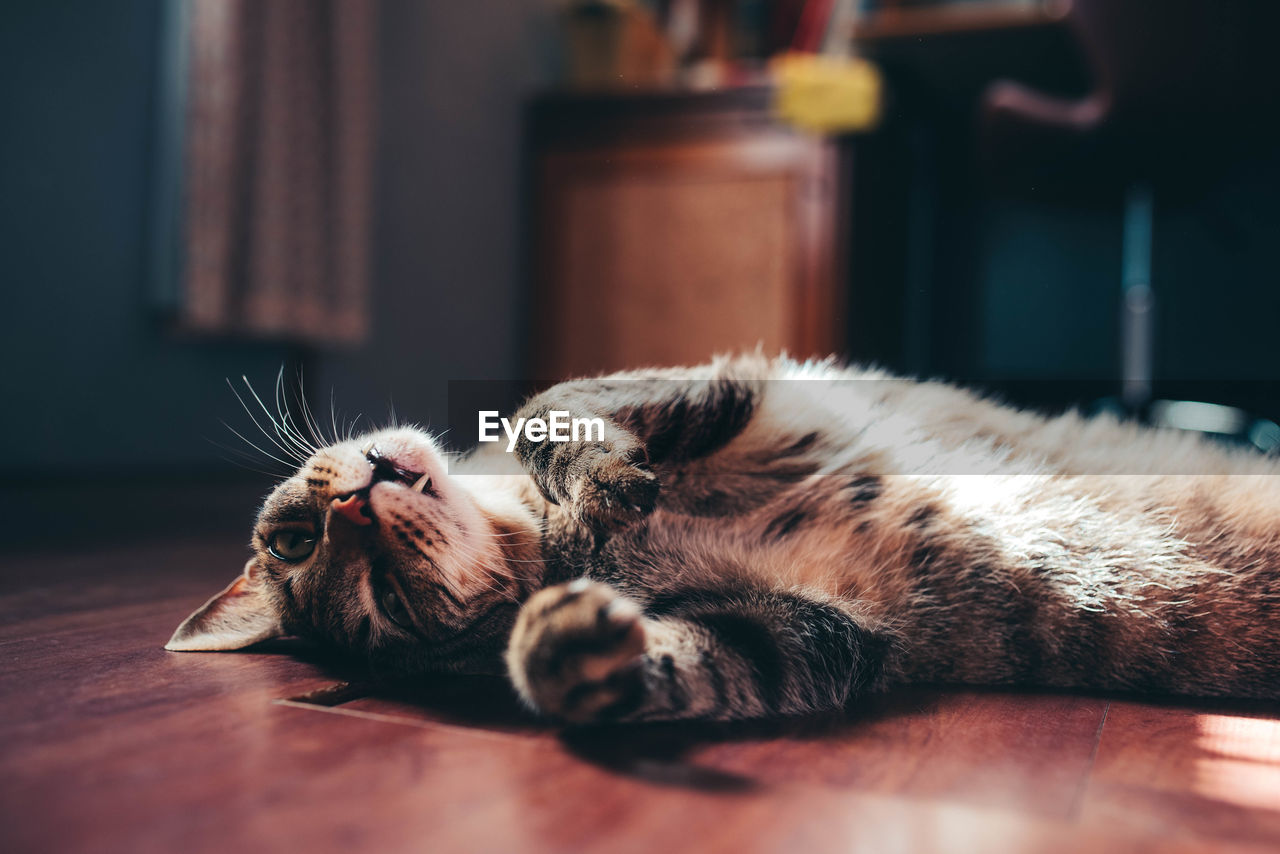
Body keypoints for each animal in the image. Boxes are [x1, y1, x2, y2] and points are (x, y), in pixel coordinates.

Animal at [167, 353, 1280, 722]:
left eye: (294, 536)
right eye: (387, 602)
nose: (356, 503)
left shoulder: (720, 382)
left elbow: (543, 408)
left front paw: (597, 477)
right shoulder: (813, 632)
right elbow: (692, 663)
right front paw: (564, 653)